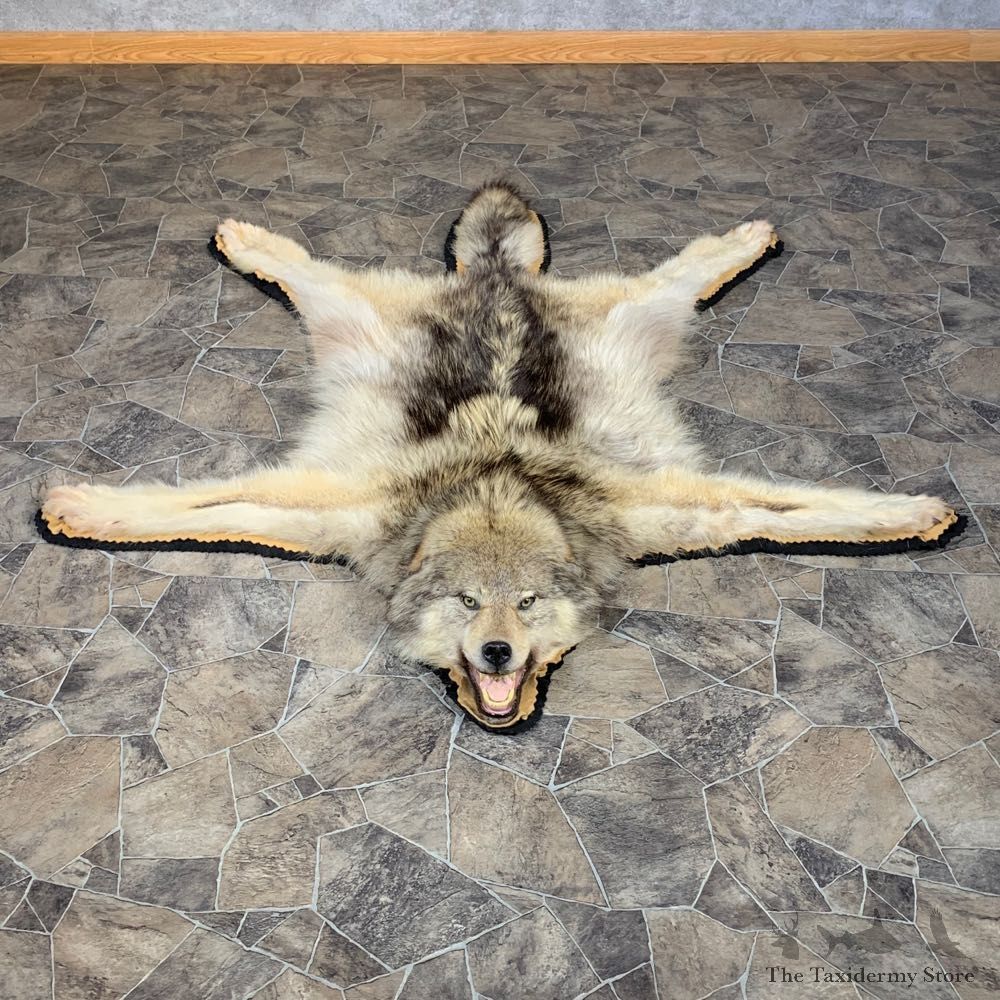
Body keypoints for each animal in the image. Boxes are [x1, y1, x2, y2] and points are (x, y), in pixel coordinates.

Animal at [42, 183, 957, 729]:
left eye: (525, 604)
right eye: (466, 602)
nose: (496, 655)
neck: (493, 484)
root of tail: (496, 277)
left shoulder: (654, 511)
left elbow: (802, 507)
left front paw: (914, 512)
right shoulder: (339, 511)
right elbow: (201, 506)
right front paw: (85, 508)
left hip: (639, 314)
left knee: (686, 265)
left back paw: (748, 237)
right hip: (352, 316)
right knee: (306, 267)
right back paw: (246, 238)